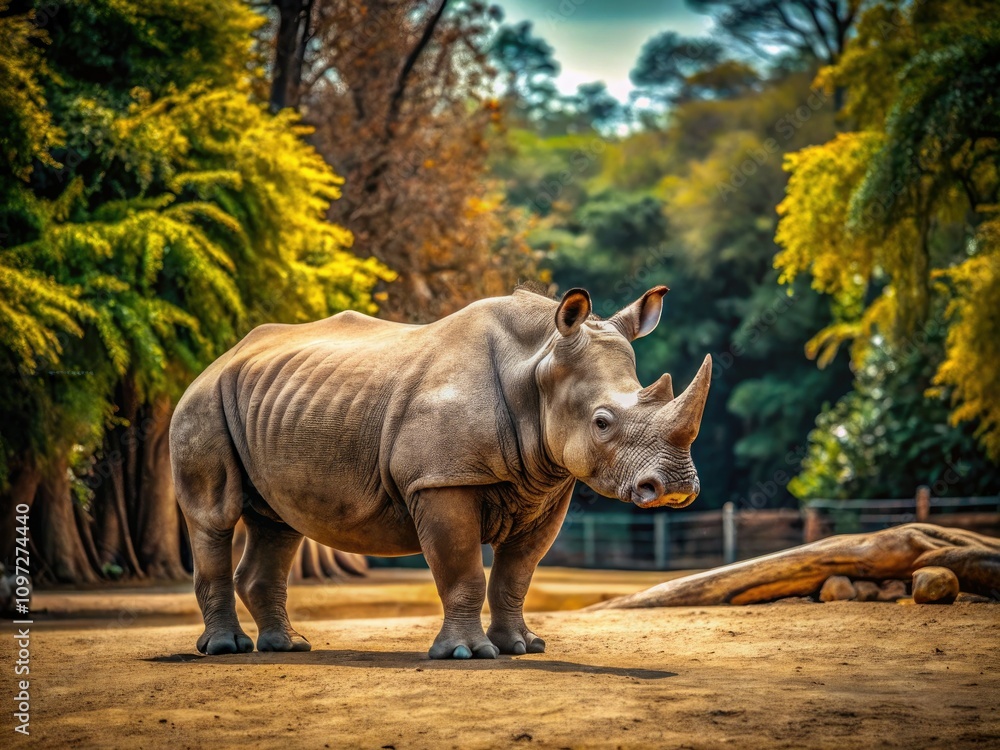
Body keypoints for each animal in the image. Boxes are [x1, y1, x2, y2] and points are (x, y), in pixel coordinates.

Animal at [170, 285, 711, 659]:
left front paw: (522, 647)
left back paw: (289, 645)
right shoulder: (440, 481)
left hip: (271, 403)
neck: (536, 362)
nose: (676, 487)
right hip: (203, 401)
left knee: (277, 521)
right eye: (602, 422)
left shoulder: (547, 489)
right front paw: (468, 654)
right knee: (214, 516)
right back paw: (227, 649)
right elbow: (462, 569)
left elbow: (517, 573)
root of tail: (221, 358)